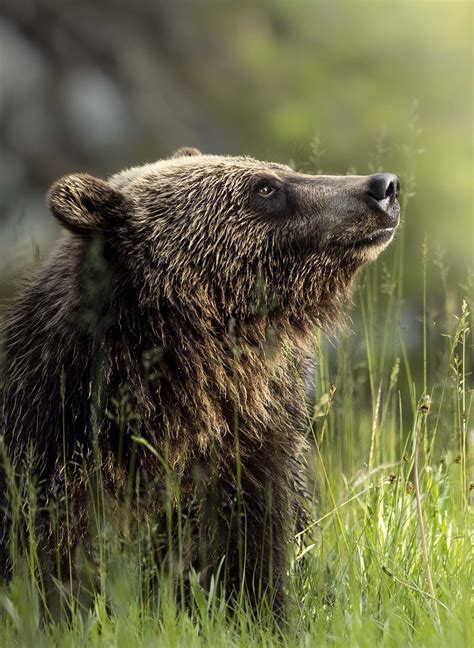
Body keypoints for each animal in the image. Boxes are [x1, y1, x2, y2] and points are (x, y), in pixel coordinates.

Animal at [0, 149, 400, 616]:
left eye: (285, 170)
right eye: (265, 187)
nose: (383, 186)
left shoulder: (250, 455)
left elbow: (251, 552)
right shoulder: (52, 452)